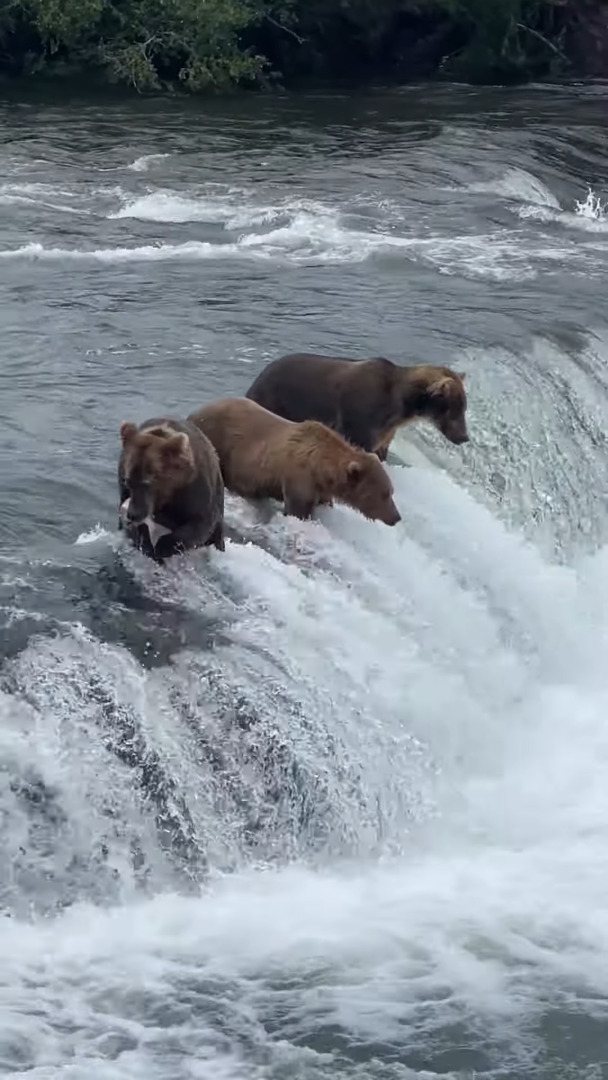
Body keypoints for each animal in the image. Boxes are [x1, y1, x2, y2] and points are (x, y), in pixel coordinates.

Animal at [117, 414, 224, 565]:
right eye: (128, 481)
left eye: (148, 482)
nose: (133, 514)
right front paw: (147, 544)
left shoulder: (195, 490)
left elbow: (201, 524)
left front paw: (163, 547)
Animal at [187, 399, 401, 529]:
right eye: (384, 494)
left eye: (391, 491)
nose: (396, 517)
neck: (321, 468)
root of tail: (196, 412)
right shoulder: (299, 477)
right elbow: (298, 509)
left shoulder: (321, 488)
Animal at [245, 349, 468, 460]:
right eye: (455, 408)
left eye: (464, 408)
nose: (464, 437)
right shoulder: (361, 417)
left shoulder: (386, 431)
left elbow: (381, 449)